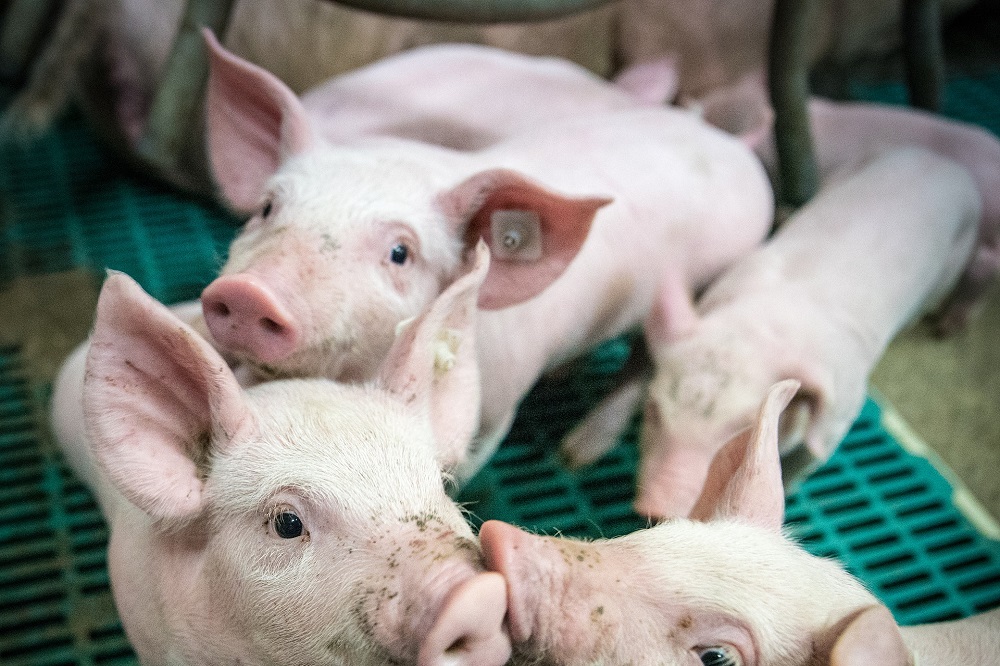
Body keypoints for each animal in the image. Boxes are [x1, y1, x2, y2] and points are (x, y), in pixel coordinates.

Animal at [195, 36, 772, 480]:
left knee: (643, 363)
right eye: (267, 208)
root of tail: (733, 146)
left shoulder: (498, 405)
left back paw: (574, 455)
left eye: (400, 253)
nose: (248, 293)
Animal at [564, 147, 976, 520]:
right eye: (653, 410)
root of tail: (942, 159)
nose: (653, 506)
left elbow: (809, 456)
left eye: (743, 430)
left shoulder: (843, 408)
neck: (759, 330)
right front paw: (571, 457)